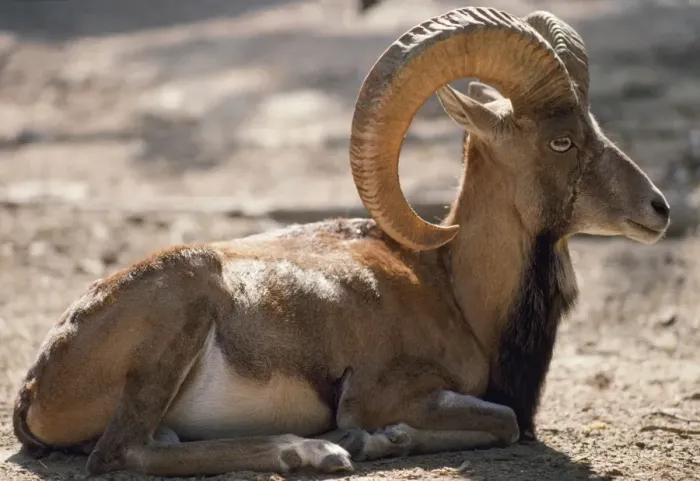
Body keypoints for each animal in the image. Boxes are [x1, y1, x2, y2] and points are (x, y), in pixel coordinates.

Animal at [12, 6, 669, 477]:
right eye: (561, 142)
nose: (658, 209)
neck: (453, 290)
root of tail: (39, 380)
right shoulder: (387, 391)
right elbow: (504, 421)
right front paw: (374, 438)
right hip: (179, 316)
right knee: (123, 453)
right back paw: (310, 453)